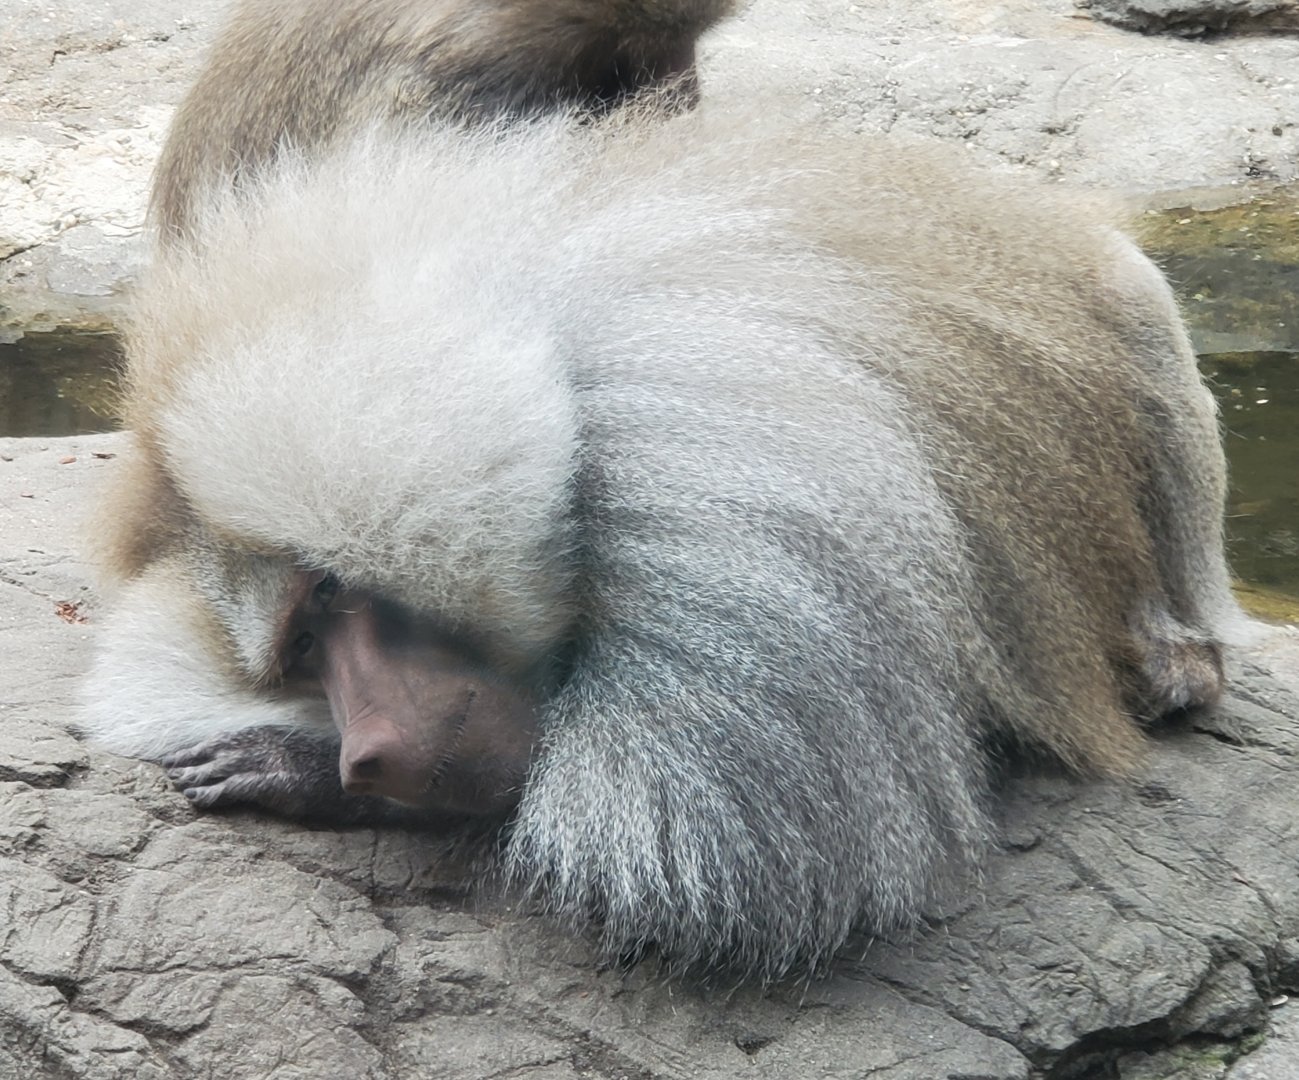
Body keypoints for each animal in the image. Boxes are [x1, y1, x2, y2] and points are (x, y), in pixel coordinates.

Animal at [81, 105, 1248, 980]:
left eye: (327, 596)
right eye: (302, 653)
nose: (366, 752)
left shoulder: (729, 510)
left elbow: (709, 851)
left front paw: (309, 773)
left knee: (1138, 317)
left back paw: (1175, 655)